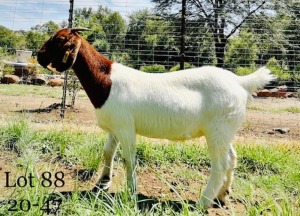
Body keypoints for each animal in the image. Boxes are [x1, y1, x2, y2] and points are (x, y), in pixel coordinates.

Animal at [37, 28, 276, 208]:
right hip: (225, 130)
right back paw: (222, 196)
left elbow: (129, 159)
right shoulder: (116, 127)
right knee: (232, 158)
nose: (39, 56)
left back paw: (203, 202)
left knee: (221, 164)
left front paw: (130, 191)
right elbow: (107, 153)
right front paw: (102, 183)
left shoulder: (126, 127)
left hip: (217, 130)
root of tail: (241, 82)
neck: (106, 80)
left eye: (59, 40)